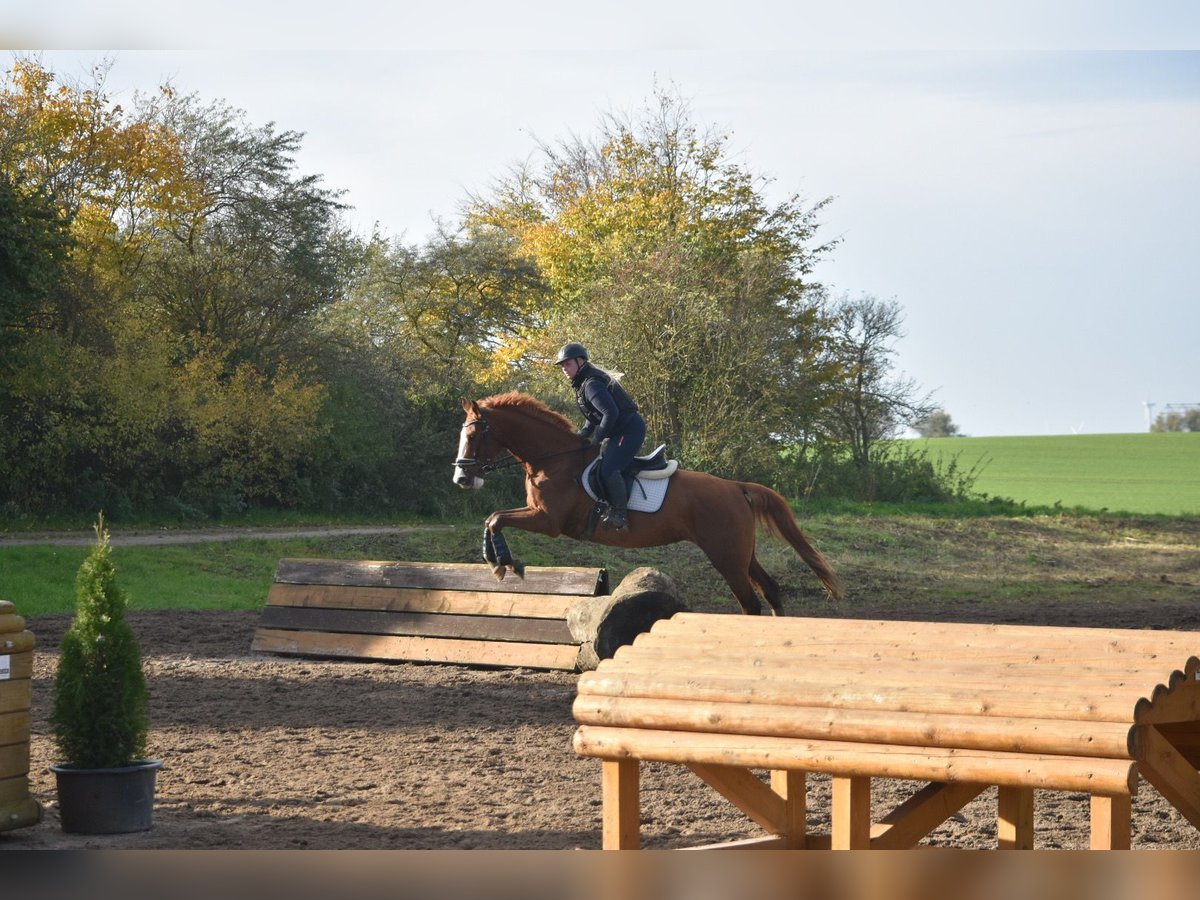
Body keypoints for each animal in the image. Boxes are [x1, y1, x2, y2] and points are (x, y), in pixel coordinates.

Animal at [451, 391, 844, 619]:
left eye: (474, 433)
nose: (462, 479)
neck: (553, 459)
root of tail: (735, 487)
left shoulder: (547, 521)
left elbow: (495, 518)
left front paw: (502, 563)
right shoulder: (539, 516)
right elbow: (492, 519)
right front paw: (500, 562)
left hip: (726, 556)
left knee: (750, 602)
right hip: (740, 553)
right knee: (770, 590)